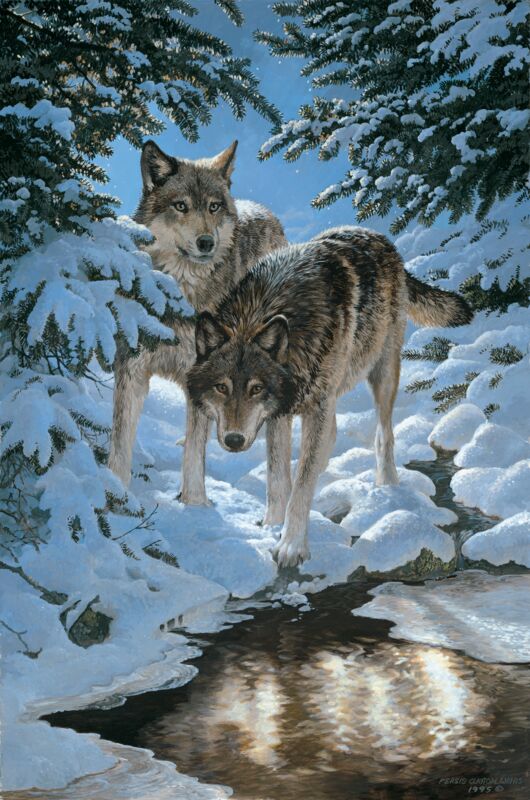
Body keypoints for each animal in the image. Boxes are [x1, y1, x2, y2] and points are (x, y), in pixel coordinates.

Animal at [109, 140, 286, 502]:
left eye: (214, 207)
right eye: (181, 206)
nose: (207, 242)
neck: (176, 297)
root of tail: (265, 212)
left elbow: (195, 453)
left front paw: (195, 504)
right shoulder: (131, 369)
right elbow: (120, 442)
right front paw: (115, 496)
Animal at [187, 226, 473, 567]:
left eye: (256, 388)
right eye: (222, 387)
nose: (233, 440)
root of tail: (377, 236)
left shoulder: (312, 407)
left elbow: (301, 485)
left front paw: (291, 546)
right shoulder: (280, 414)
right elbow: (277, 480)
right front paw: (271, 526)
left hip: (381, 374)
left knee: (384, 435)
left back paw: (387, 489)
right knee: (332, 438)